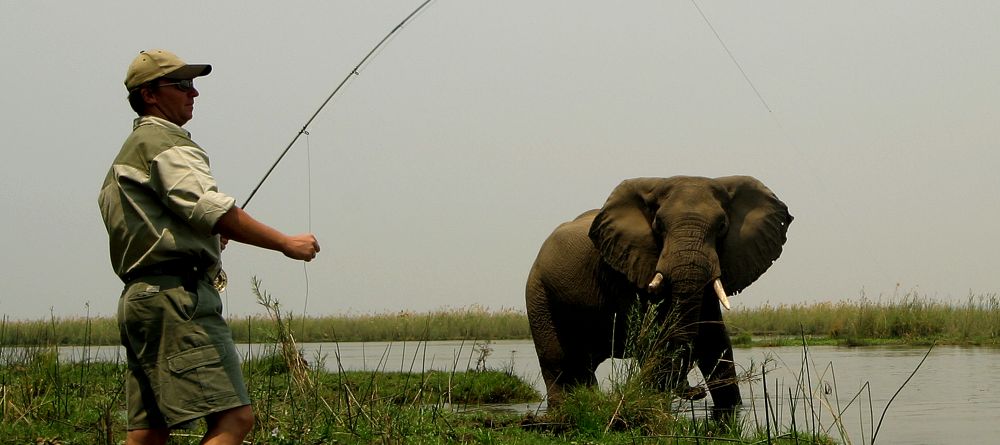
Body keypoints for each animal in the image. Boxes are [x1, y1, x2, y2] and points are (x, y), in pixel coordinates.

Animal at [528, 174, 792, 416]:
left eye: (722, 226)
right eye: (658, 226)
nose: (696, 392)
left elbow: (714, 340)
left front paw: (731, 410)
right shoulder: (622, 269)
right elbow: (653, 336)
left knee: (584, 366)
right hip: (538, 292)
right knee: (555, 361)